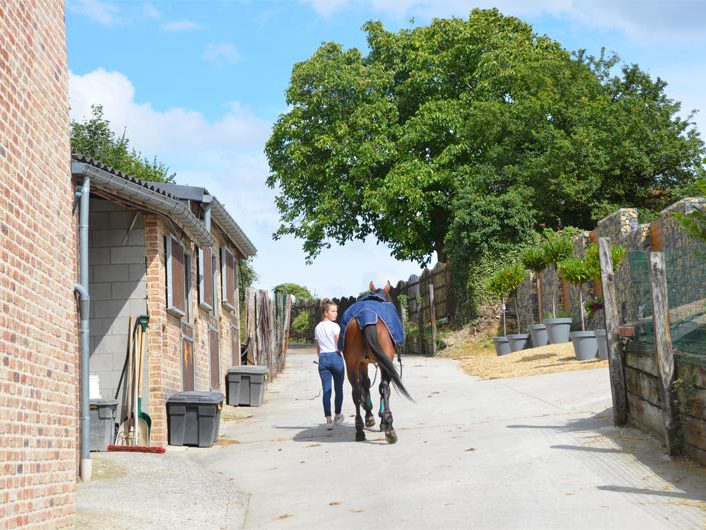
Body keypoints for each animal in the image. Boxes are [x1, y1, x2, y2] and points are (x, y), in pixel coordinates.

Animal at [338, 280, 410, 442]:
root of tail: (366, 316)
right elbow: (379, 387)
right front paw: (381, 420)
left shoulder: (362, 363)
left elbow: (365, 384)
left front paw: (370, 416)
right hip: (383, 362)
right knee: (384, 387)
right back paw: (389, 428)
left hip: (351, 364)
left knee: (356, 391)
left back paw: (359, 430)